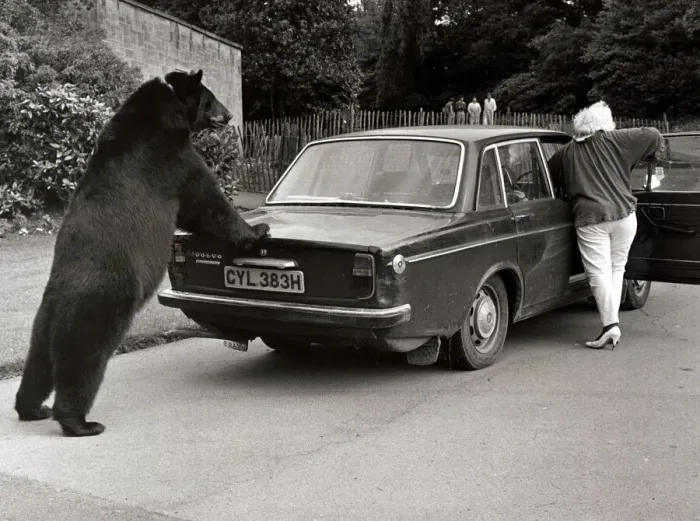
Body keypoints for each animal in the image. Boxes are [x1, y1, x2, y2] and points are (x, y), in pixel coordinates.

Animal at [14, 69, 270, 437]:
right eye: (211, 99)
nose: (229, 115)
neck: (166, 109)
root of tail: (59, 297)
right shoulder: (174, 159)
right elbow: (207, 202)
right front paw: (257, 231)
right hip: (100, 305)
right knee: (82, 362)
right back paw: (79, 422)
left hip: (42, 323)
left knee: (38, 364)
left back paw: (32, 408)